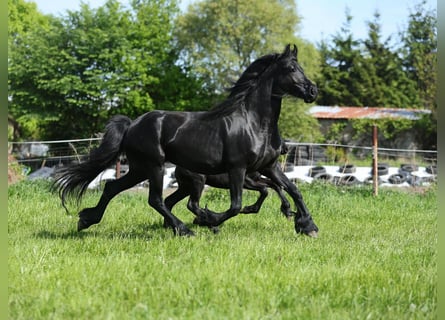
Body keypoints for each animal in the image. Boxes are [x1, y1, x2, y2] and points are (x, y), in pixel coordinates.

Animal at [53, 43, 318, 236]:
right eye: (291, 68)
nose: (313, 91)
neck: (254, 123)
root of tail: (132, 125)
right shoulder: (238, 169)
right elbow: (236, 205)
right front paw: (209, 219)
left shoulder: (269, 167)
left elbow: (292, 189)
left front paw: (307, 225)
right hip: (155, 166)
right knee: (156, 200)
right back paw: (184, 229)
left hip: (139, 168)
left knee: (113, 188)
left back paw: (86, 220)